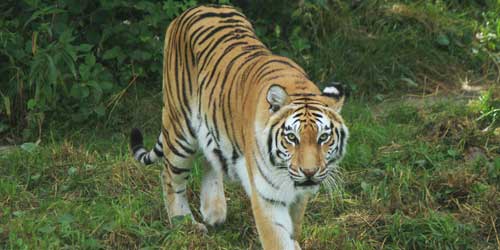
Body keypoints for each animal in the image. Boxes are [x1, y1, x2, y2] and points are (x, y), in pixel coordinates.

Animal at [129, 4, 348, 250]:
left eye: (323, 138)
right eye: (292, 138)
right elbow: (277, 239)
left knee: (210, 159)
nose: (309, 172)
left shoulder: (299, 195)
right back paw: (184, 224)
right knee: (169, 176)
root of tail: (196, 8)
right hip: (179, 128)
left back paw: (213, 211)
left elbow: (294, 229)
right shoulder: (267, 197)